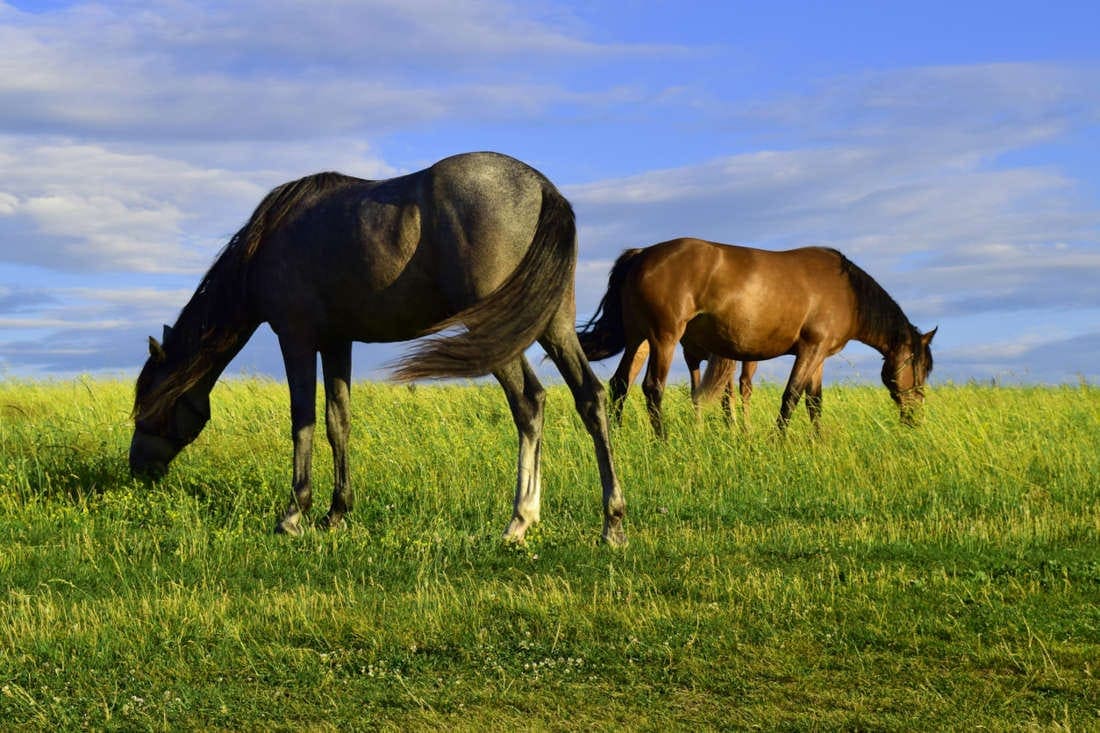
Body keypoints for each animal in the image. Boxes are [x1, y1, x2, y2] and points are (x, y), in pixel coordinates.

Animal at [130, 152, 626, 546]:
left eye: (145, 406)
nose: (136, 470)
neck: (267, 243)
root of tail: (542, 188)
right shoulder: (336, 340)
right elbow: (338, 422)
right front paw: (336, 512)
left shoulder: (296, 337)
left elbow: (303, 422)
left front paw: (293, 514)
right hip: (551, 325)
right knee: (589, 399)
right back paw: (611, 523)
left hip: (498, 329)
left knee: (528, 403)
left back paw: (520, 520)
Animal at [578, 237, 935, 437]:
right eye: (919, 370)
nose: (915, 419)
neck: (847, 292)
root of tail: (642, 254)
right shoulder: (809, 350)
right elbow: (791, 396)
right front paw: (777, 439)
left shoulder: (819, 357)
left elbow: (815, 402)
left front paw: (818, 440)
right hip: (663, 338)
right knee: (652, 388)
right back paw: (661, 440)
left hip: (638, 338)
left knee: (620, 384)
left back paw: (617, 436)